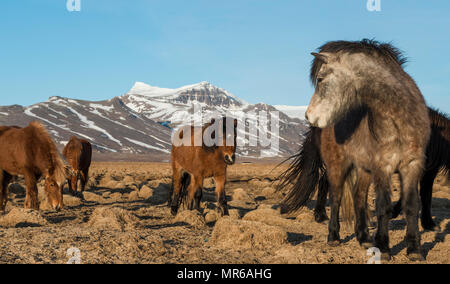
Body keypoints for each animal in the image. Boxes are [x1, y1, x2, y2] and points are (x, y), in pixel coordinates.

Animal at [282, 39, 428, 260]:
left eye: (321, 79)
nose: (308, 115)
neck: (398, 118)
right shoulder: (382, 167)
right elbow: (383, 206)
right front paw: (383, 248)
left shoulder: (412, 165)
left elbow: (411, 205)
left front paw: (414, 250)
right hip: (338, 166)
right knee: (336, 197)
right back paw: (333, 236)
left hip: (362, 168)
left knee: (359, 196)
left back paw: (364, 237)